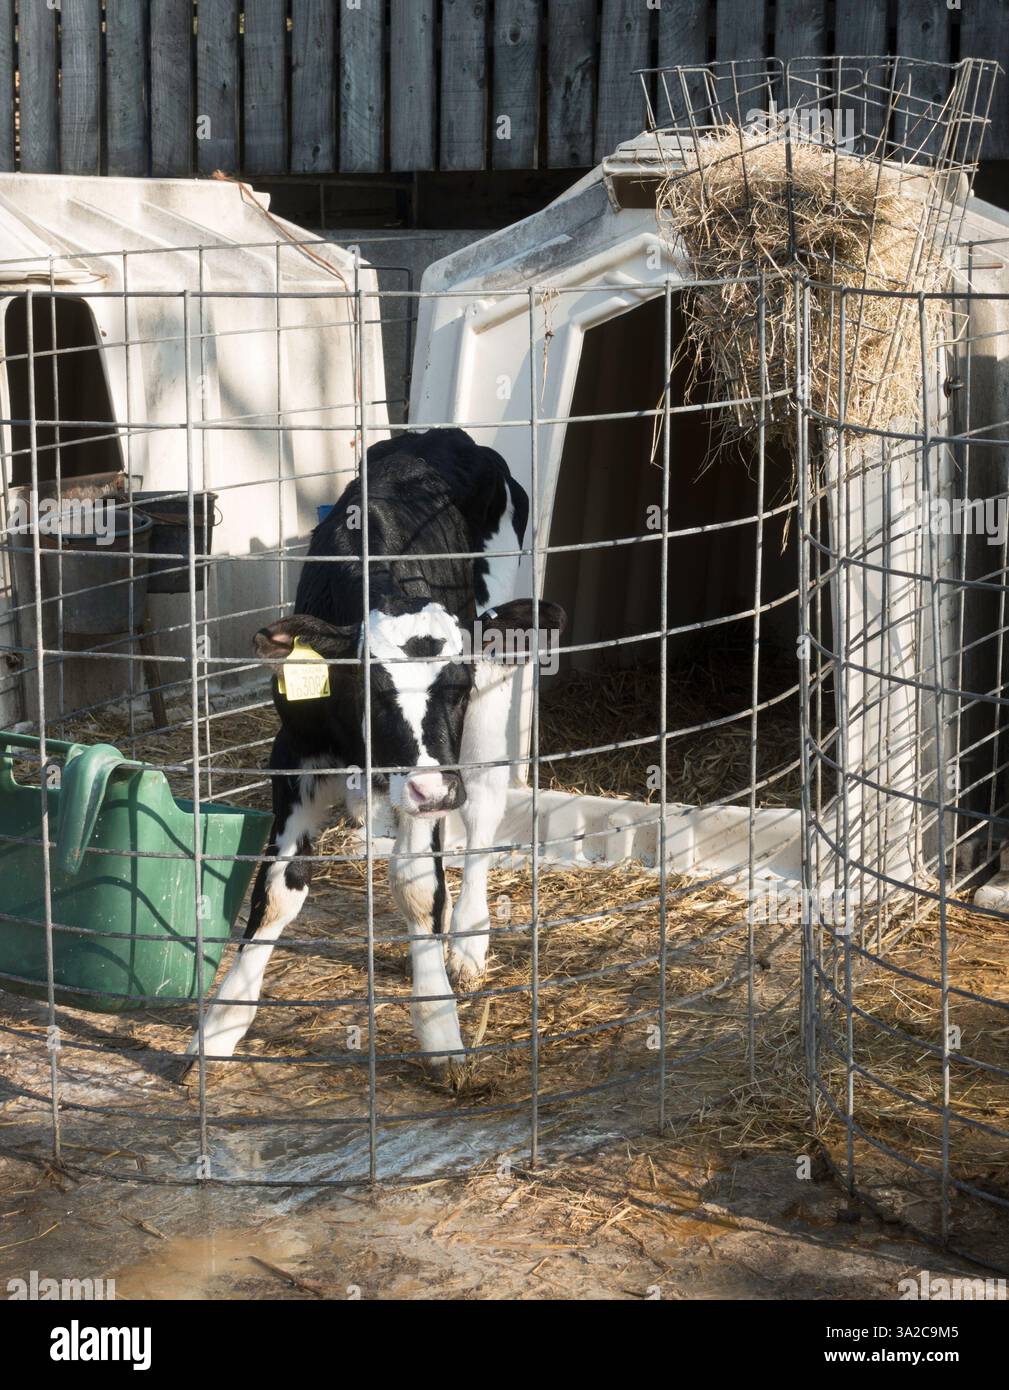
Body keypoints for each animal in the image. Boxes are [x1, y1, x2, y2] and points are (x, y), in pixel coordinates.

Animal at [181, 428, 564, 1081]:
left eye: (458, 684)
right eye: (369, 689)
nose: (434, 791)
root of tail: (447, 438)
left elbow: (417, 885)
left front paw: (441, 1029)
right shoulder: (296, 754)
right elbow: (279, 888)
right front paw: (221, 1028)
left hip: (493, 710)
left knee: (483, 812)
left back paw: (466, 943)